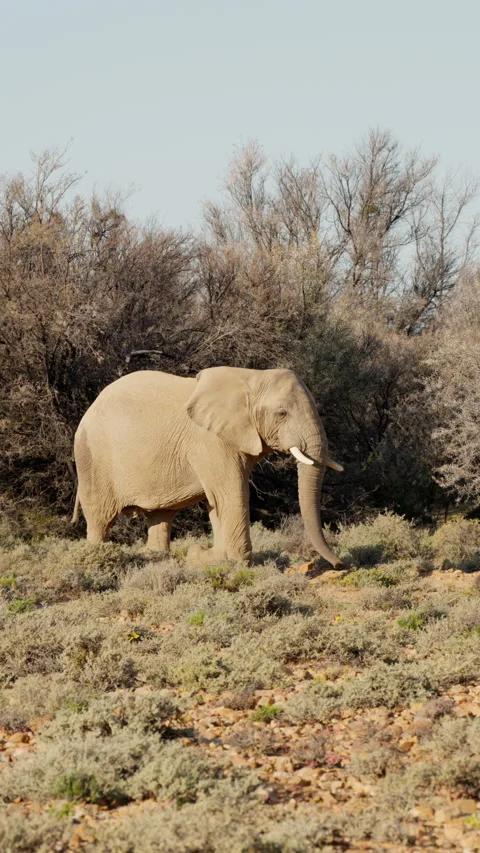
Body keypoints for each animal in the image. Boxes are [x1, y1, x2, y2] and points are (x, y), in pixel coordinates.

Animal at [72, 366, 343, 567]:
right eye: (282, 414)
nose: (339, 564)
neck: (250, 377)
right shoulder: (210, 441)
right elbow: (232, 494)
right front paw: (240, 563)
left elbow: (216, 502)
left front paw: (209, 556)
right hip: (92, 458)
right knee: (100, 517)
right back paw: (97, 557)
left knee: (160, 516)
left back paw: (157, 558)